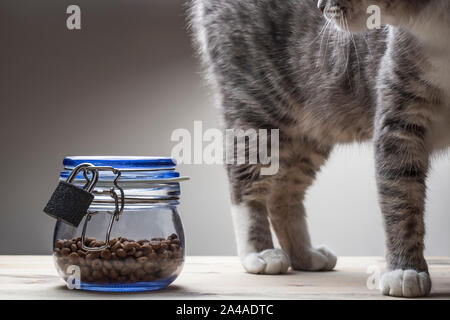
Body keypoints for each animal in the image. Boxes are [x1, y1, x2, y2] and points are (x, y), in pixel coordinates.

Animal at [190, 0, 450, 298]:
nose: (319, 6)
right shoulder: (397, 123)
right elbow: (401, 204)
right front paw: (405, 270)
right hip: (256, 102)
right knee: (245, 181)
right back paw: (259, 252)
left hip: (315, 125)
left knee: (283, 193)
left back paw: (304, 254)